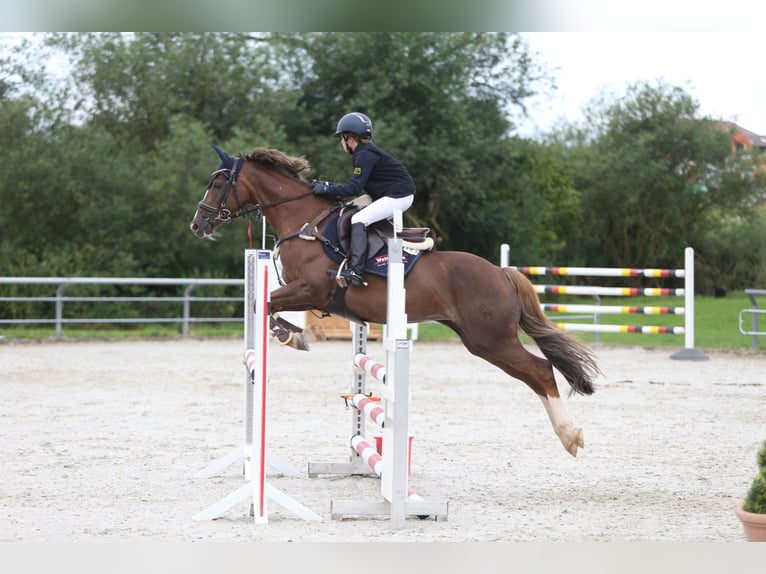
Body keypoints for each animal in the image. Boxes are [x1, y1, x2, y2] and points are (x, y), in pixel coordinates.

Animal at [189, 145, 604, 460]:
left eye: (219, 182)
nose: (198, 225)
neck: (305, 223)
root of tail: (501, 273)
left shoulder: (310, 289)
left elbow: (265, 304)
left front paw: (291, 335)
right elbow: (267, 306)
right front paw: (296, 334)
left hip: (491, 339)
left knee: (540, 371)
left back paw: (571, 436)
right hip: (480, 341)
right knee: (535, 374)